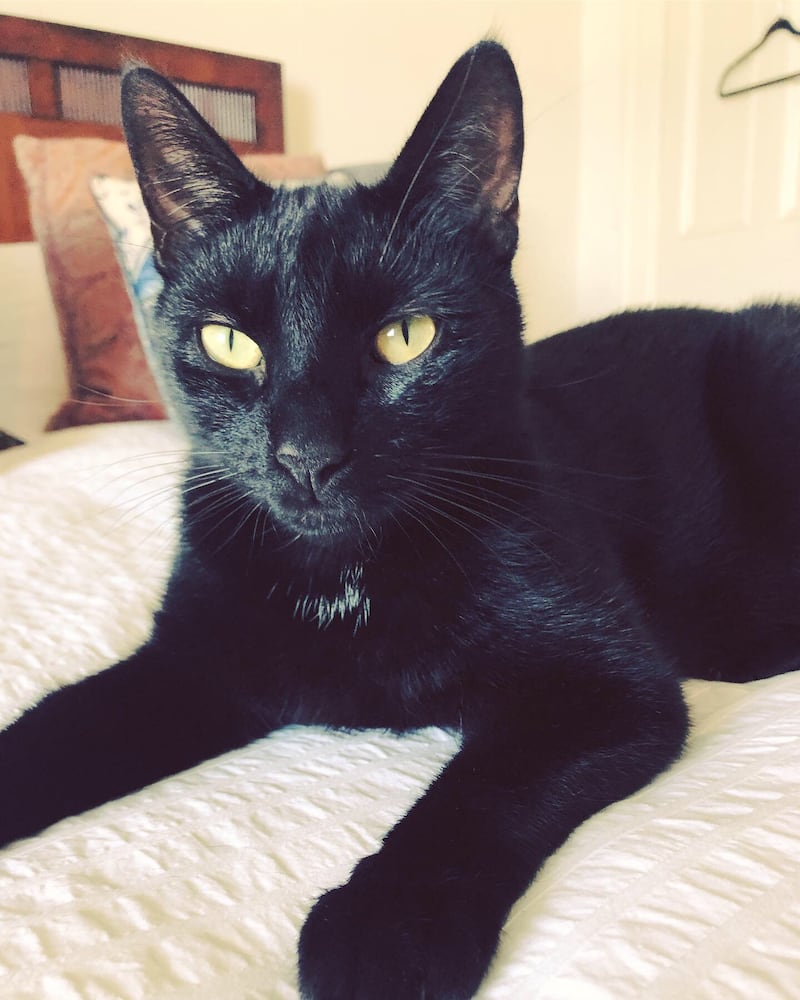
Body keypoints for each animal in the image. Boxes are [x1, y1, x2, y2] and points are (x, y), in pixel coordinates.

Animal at [1, 41, 800, 1000]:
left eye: (406, 336)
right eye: (230, 341)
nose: (306, 455)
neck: (346, 573)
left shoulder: (609, 684)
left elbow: (483, 789)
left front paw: (385, 930)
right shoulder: (193, 662)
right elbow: (56, 728)